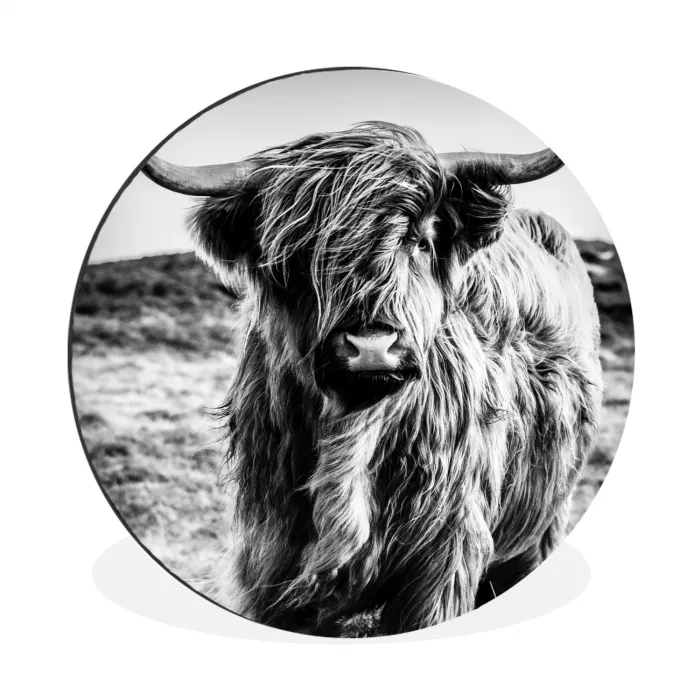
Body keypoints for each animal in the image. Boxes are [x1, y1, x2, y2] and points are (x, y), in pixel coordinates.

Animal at [143, 122, 603, 636]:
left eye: (420, 242)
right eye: (300, 255)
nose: (371, 346)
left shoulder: (444, 555)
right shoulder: (269, 558)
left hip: (544, 523)